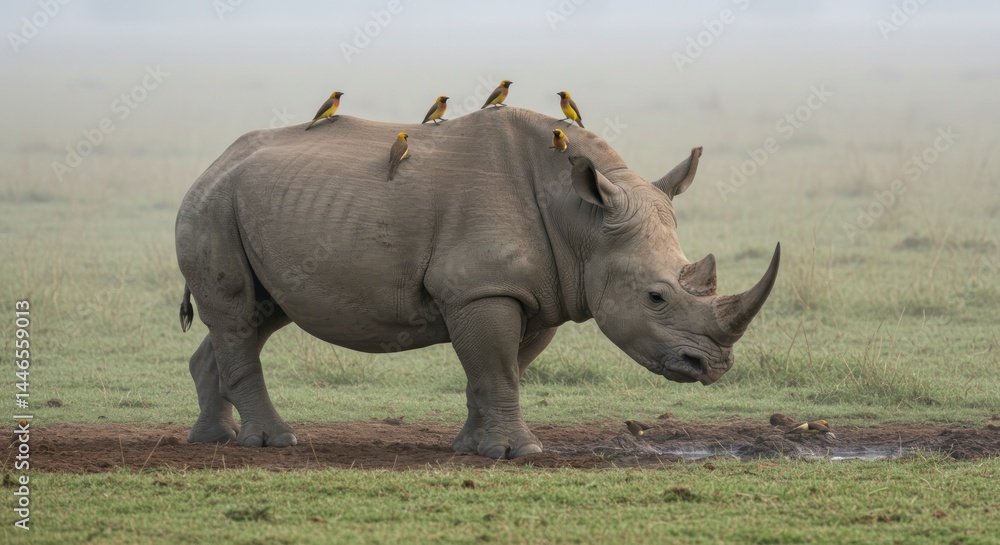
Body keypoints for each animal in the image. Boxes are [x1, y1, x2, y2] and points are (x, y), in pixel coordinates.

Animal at [175, 106, 779, 459]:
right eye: (656, 297)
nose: (713, 367)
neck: (584, 222)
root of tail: (212, 163)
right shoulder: (481, 288)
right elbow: (497, 368)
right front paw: (521, 453)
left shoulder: (536, 293)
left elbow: (497, 370)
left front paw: (471, 447)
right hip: (211, 205)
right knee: (238, 316)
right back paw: (273, 442)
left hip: (246, 204)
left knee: (258, 316)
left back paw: (213, 439)